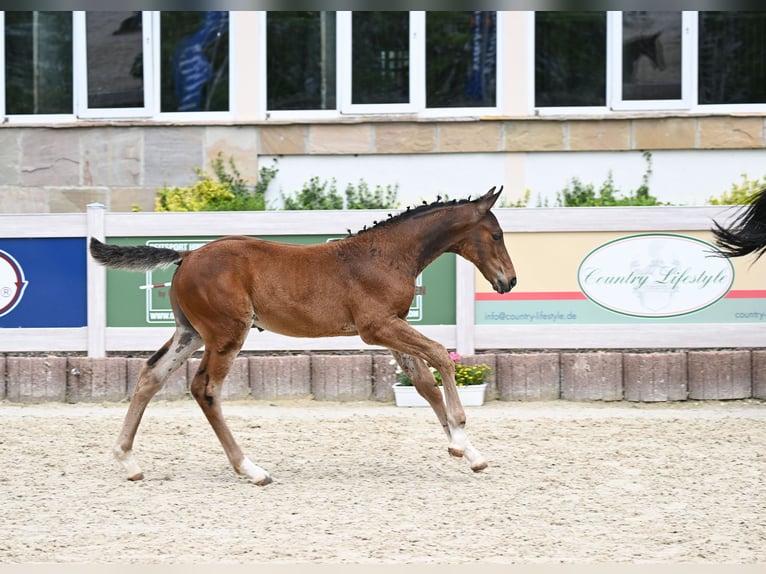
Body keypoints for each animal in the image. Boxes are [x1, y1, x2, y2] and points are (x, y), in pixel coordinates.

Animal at [91, 189, 520, 486]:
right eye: (497, 235)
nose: (510, 281)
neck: (387, 254)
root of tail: (186, 256)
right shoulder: (377, 327)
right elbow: (441, 355)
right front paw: (460, 435)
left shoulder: (392, 328)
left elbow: (425, 383)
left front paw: (470, 452)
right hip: (227, 333)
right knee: (205, 388)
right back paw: (252, 469)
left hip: (190, 332)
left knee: (151, 375)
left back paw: (128, 460)